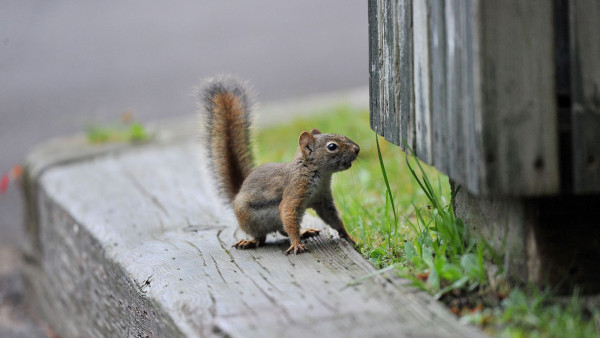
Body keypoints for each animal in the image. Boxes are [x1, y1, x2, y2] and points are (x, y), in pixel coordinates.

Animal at [197, 76, 358, 254]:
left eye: (343, 136)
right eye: (332, 147)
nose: (357, 149)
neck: (319, 174)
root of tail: (238, 192)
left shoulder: (322, 199)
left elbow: (333, 218)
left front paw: (348, 236)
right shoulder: (295, 189)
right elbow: (288, 212)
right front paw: (296, 244)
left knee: (282, 230)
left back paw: (305, 232)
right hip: (248, 219)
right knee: (261, 237)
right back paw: (250, 241)